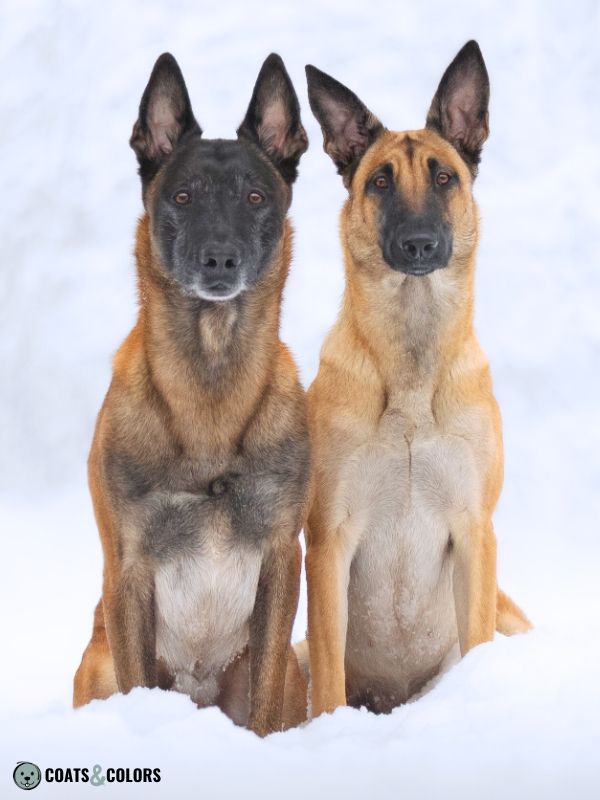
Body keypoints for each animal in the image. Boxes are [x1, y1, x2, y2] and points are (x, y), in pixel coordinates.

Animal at [302, 42, 528, 720]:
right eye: (379, 181)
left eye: (444, 177)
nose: (420, 244)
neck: (410, 364)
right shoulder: (328, 544)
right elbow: (328, 679)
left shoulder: (475, 533)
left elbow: (477, 639)